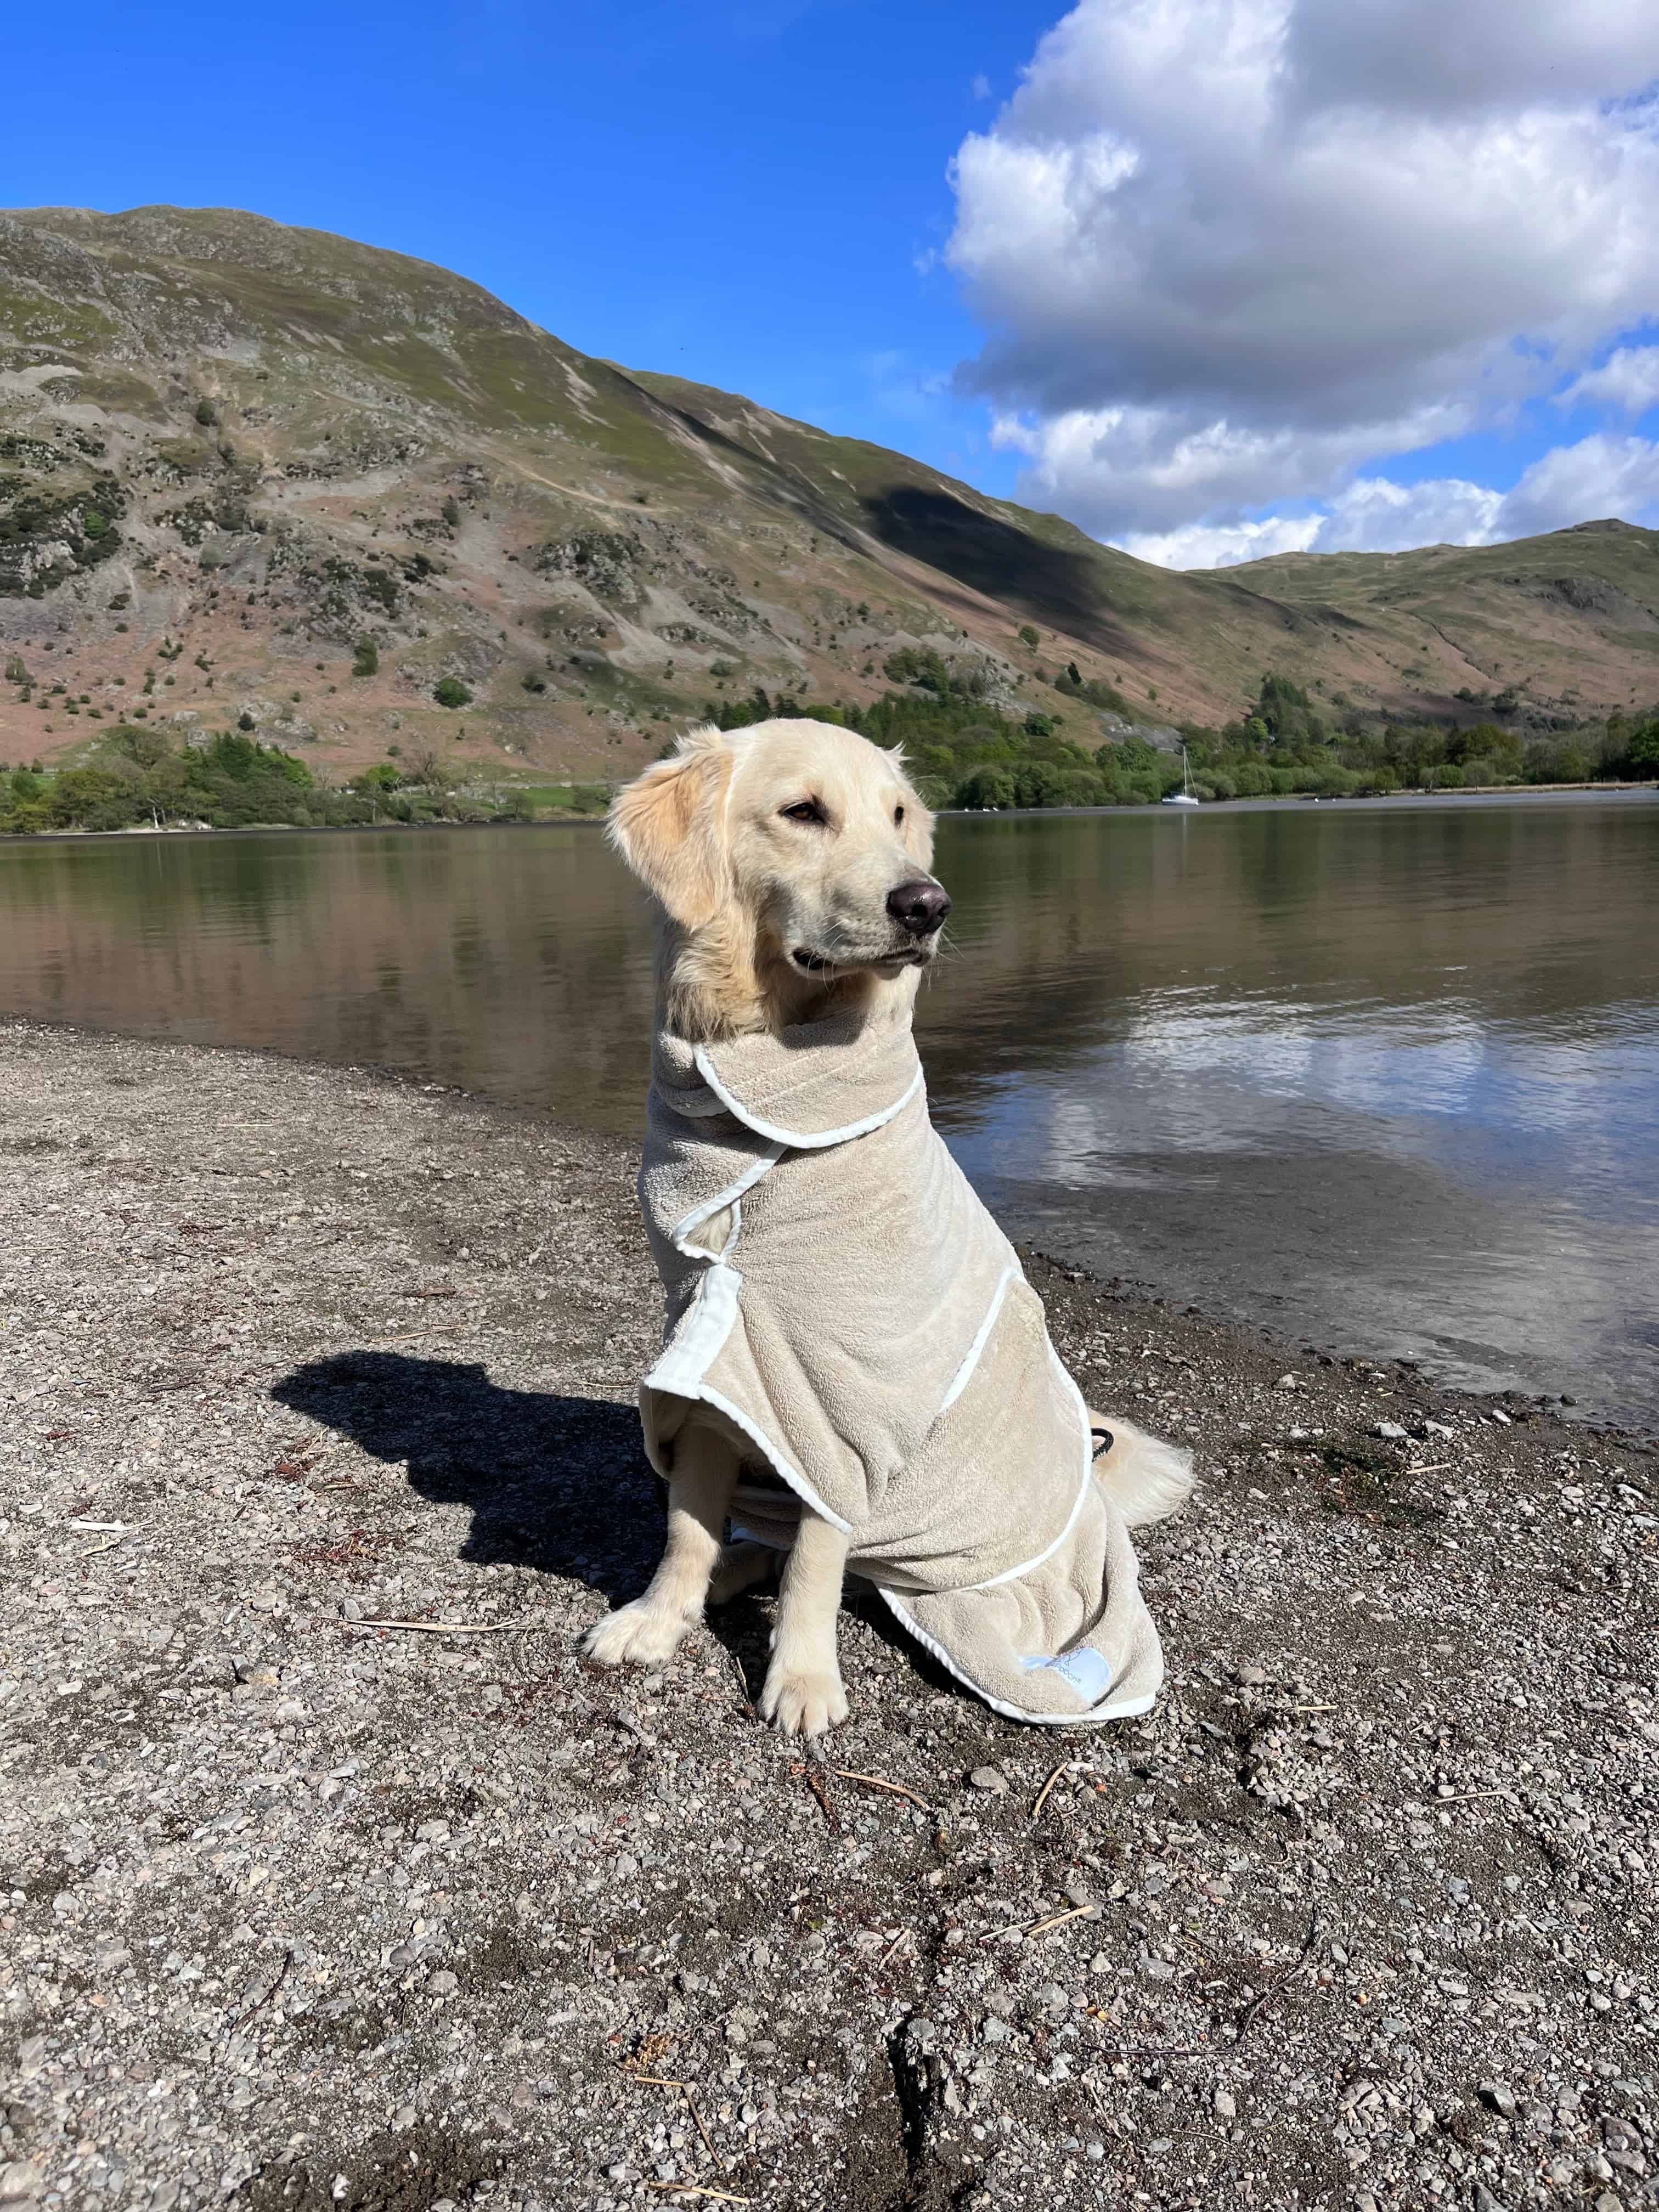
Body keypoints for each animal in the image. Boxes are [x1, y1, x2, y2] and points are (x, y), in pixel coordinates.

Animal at [584, 716, 1194, 1734]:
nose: (927, 905)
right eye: (802, 811)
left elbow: (816, 1560)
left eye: (899, 814)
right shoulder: (720, 1359)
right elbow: (685, 1526)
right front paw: (660, 1617)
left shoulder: (847, 1402)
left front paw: (800, 1679)